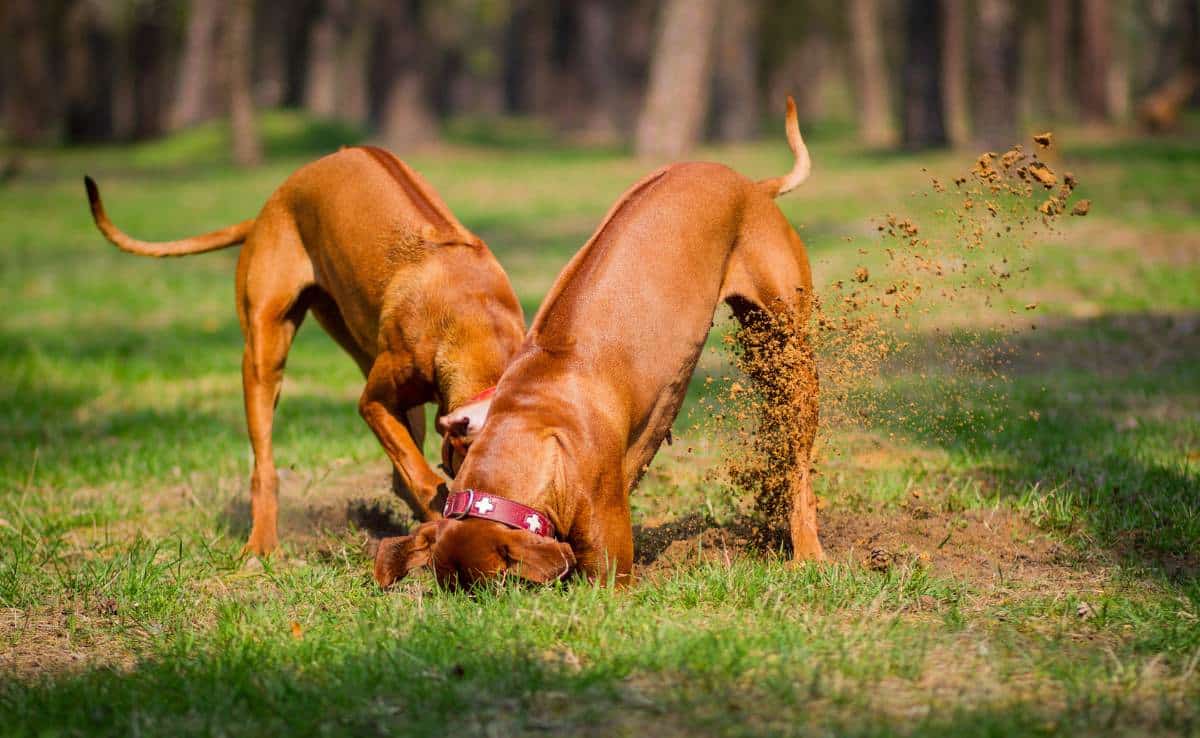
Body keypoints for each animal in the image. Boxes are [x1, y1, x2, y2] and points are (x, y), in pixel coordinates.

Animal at [87, 147, 528, 556]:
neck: (477, 323)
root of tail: (268, 209)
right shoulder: (374, 402)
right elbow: (422, 475)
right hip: (265, 353)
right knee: (264, 466)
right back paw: (261, 545)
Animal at [376, 99, 825, 588]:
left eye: (493, 591)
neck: (532, 420)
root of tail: (752, 187)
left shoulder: (607, 557)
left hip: (790, 356)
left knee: (800, 465)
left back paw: (808, 550)